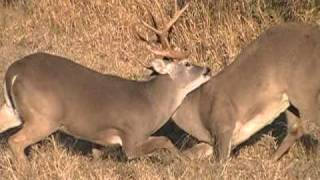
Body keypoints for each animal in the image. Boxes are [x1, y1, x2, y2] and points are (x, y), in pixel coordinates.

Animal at [0, 0, 211, 162]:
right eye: (187, 64)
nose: (208, 70)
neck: (152, 103)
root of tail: (13, 72)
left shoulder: (101, 141)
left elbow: (97, 155)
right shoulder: (131, 137)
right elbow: (166, 141)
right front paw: (180, 158)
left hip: (15, 110)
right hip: (44, 117)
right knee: (15, 141)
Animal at [174, 21, 320, 161]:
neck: (196, 111)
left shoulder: (223, 125)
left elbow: (220, 162)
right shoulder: (210, 141)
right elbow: (184, 156)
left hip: (304, 91)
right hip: (289, 101)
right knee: (295, 128)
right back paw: (270, 160)